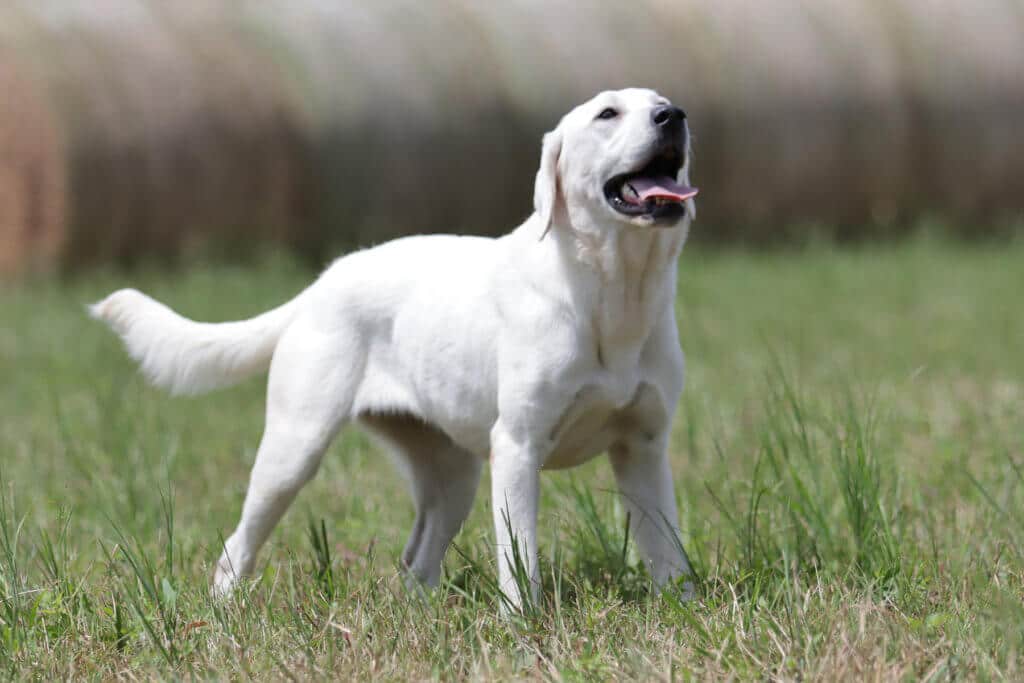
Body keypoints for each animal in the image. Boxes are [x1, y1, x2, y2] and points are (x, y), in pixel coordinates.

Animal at [92, 87, 700, 610]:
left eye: (662, 103)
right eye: (607, 114)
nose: (674, 116)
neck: (615, 294)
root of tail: (320, 283)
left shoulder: (643, 448)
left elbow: (668, 551)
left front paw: (685, 611)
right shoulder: (519, 446)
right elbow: (518, 556)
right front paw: (524, 624)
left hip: (454, 475)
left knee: (416, 561)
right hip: (293, 451)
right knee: (235, 549)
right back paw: (223, 614)